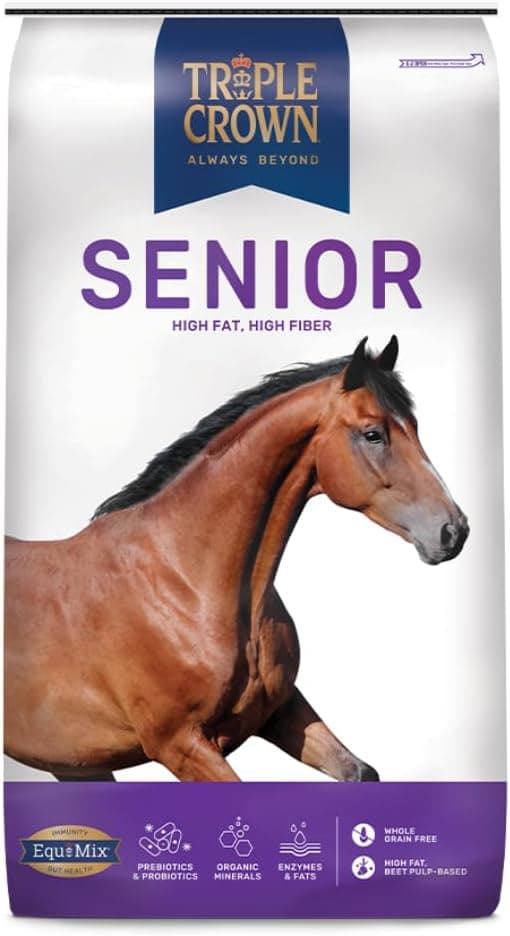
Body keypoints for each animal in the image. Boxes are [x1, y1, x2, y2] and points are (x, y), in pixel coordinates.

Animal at [4, 336, 469, 783]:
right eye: (373, 434)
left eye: (414, 426)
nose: (454, 530)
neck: (185, 580)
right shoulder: (181, 745)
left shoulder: (280, 710)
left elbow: (360, 772)